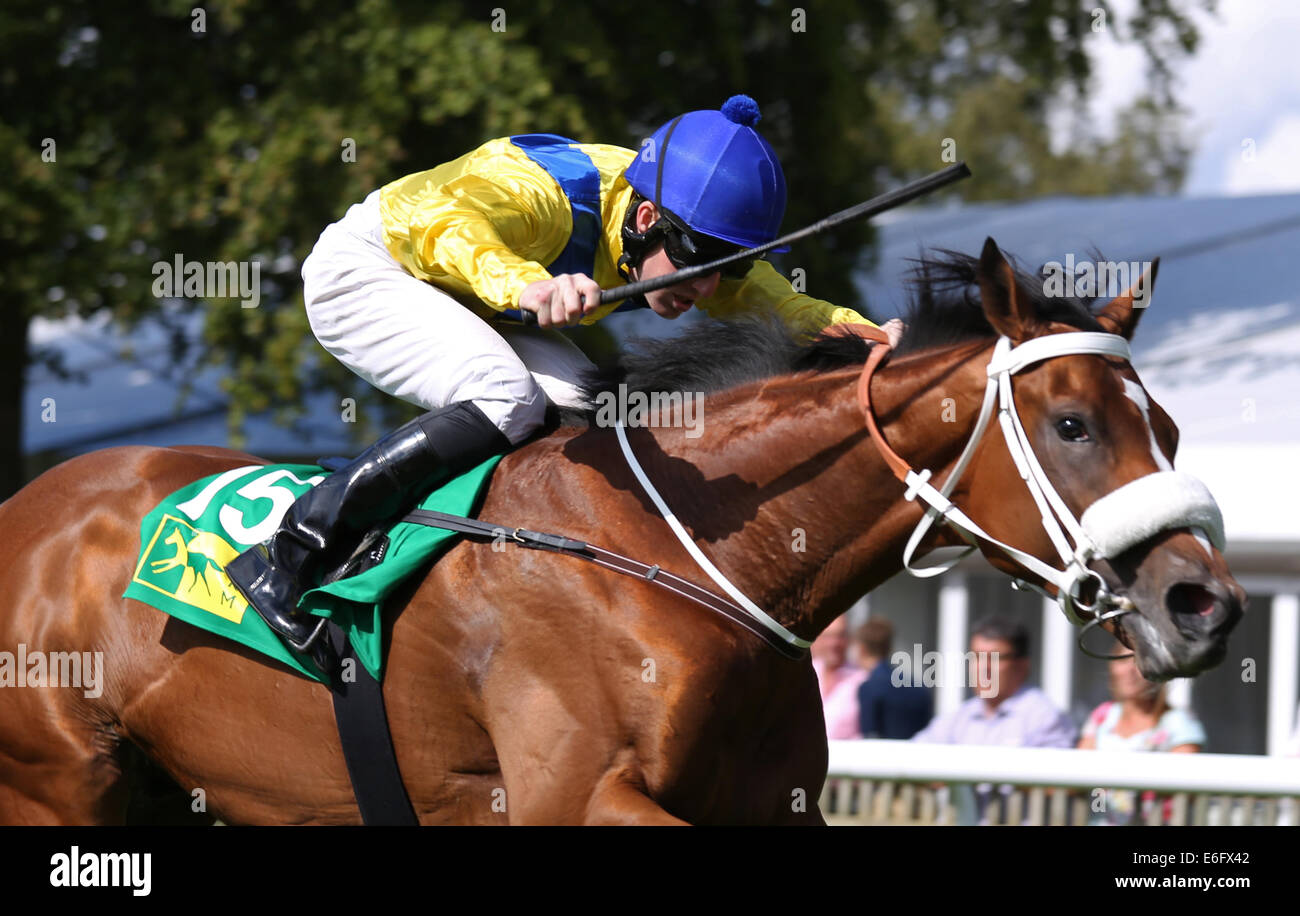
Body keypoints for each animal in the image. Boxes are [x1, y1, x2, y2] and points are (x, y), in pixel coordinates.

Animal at [0, 239, 1237, 826]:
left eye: (1170, 426)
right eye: (1071, 422)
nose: (1203, 603)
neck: (696, 554)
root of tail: (29, 511)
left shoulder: (770, 808)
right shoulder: (573, 795)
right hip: (59, 782)